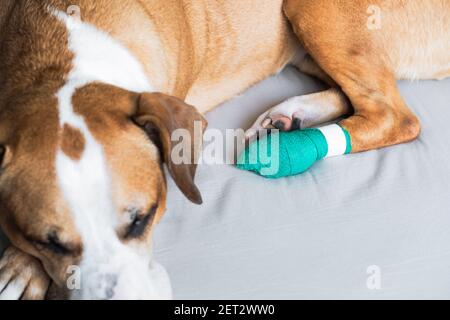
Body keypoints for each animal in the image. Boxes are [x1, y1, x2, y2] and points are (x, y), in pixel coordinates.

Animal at [0, 0, 448, 300]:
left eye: (142, 220)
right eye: (48, 242)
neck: (60, 62)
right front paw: (24, 264)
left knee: (394, 115)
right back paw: (289, 117)